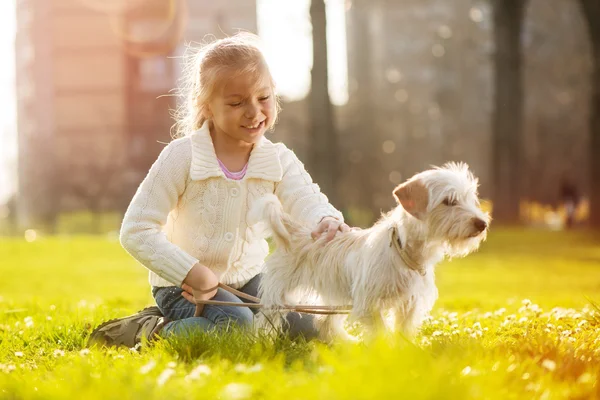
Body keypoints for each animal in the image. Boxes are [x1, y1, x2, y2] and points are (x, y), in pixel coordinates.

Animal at [251, 162, 490, 340]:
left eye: (470, 199)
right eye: (449, 201)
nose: (482, 224)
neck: (403, 251)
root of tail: (295, 231)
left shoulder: (408, 305)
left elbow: (402, 333)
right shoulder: (369, 305)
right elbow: (382, 334)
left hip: (335, 296)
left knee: (326, 323)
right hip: (277, 298)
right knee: (266, 323)